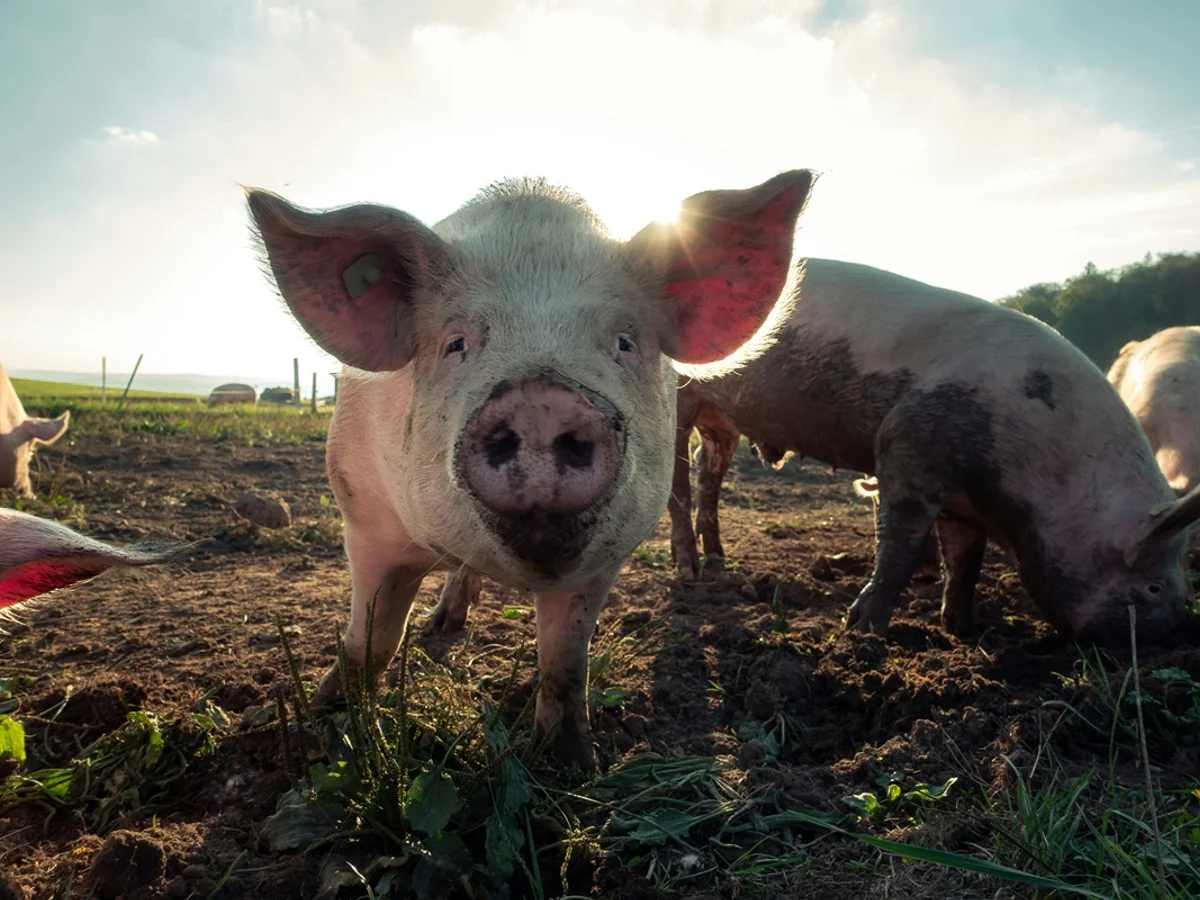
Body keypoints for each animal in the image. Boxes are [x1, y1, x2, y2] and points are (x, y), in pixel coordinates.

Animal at [245, 169, 817, 771]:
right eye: (456, 343)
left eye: (624, 341)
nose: (542, 399)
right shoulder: (364, 514)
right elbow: (372, 639)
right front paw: (329, 727)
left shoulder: (608, 555)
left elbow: (565, 661)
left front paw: (572, 765)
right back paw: (441, 625)